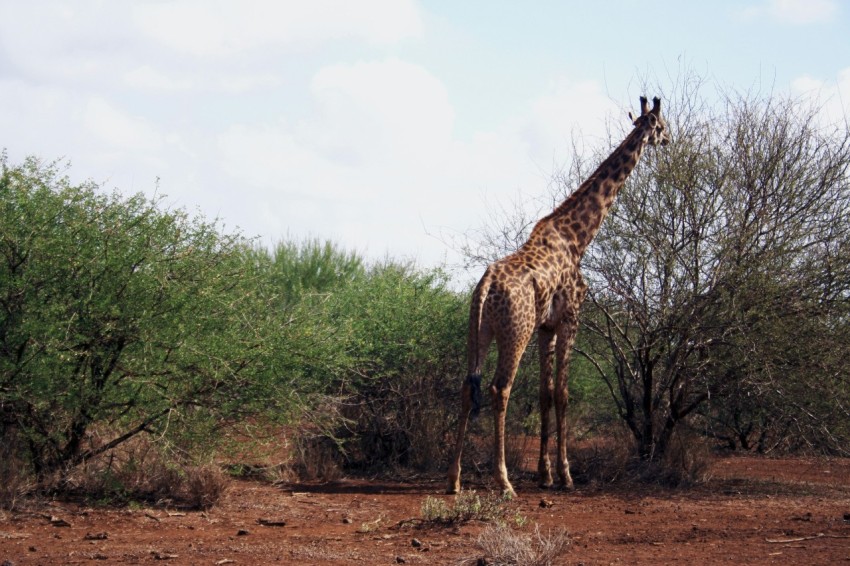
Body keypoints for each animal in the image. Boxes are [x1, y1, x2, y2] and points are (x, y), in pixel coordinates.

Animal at [444, 96, 668, 496]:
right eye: (661, 125)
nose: (670, 140)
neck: (578, 238)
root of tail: (485, 287)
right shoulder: (570, 317)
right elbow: (563, 394)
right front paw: (565, 475)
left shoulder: (546, 327)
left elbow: (545, 394)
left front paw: (544, 474)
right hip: (515, 332)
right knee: (500, 388)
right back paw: (503, 481)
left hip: (479, 330)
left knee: (468, 387)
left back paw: (454, 479)